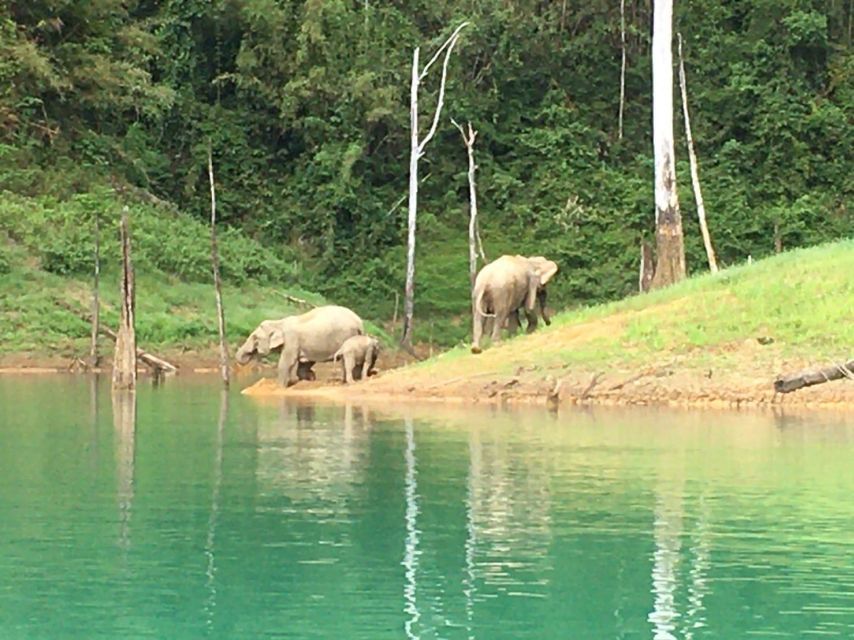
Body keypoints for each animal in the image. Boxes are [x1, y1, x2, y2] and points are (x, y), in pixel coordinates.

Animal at [236, 304, 366, 384]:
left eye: (255, 338)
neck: (279, 322)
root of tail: (360, 322)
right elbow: (306, 363)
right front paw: (310, 377)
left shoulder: (291, 341)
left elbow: (286, 363)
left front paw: (280, 386)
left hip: (347, 337)